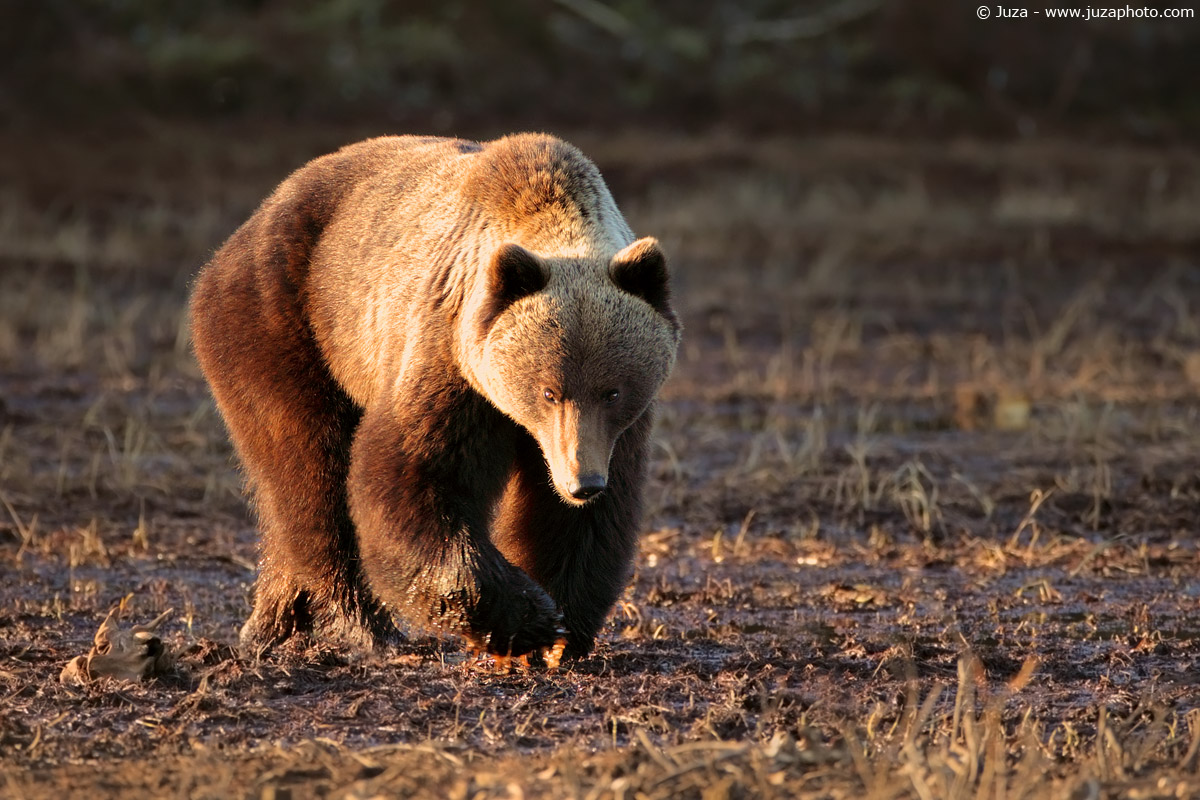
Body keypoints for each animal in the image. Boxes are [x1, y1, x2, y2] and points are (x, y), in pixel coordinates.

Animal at [189, 133, 680, 661]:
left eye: (612, 390)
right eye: (549, 391)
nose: (581, 483)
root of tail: (258, 216)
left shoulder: (616, 432)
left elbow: (584, 522)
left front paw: (559, 629)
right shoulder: (449, 358)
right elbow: (416, 477)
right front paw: (528, 618)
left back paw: (273, 619)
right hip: (284, 319)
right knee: (309, 471)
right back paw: (364, 626)